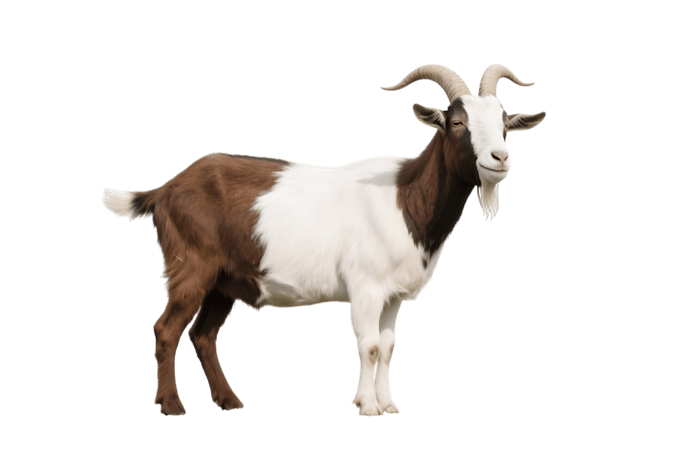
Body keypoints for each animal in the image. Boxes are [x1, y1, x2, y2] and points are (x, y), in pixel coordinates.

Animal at [101, 63, 546, 417]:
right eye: (457, 123)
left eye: (505, 124)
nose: (499, 159)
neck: (405, 200)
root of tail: (165, 190)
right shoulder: (366, 286)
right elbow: (368, 346)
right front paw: (367, 406)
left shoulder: (393, 296)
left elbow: (388, 346)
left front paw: (388, 404)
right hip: (191, 266)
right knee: (166, 329)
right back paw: (172, 406)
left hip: (224, 280)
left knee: (202, 335)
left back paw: (228, 401)